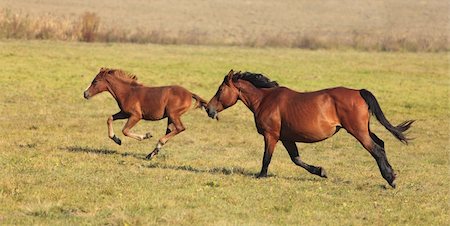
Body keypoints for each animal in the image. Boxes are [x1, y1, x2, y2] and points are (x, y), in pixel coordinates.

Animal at [206, 69, 414, 188]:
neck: (265, 100)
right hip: (365, 130)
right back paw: (391, 174)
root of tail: (358, 92)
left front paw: (261, 176)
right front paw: (320, 171)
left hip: (358, 132)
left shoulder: (271, 135)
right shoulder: (287, 138)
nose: (209, 109)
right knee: (381, 144)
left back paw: (390, 179)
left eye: (220, 90)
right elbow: (296, 159)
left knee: (376, 150)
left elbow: (267, 157)